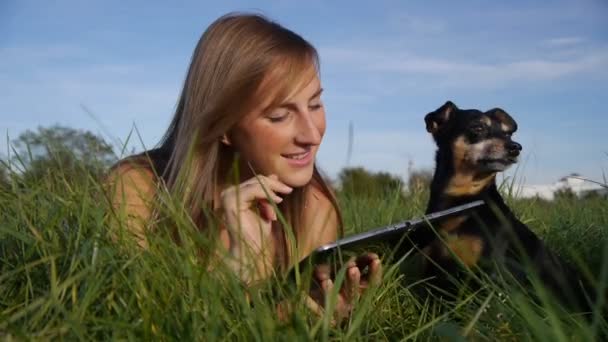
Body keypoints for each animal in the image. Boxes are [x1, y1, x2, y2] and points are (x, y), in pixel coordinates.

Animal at [420, 100, 596, 314]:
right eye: (477, 127)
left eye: (507, 134)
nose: (516, 147)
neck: (463, 204)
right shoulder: (433, 273)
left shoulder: (485, 272)